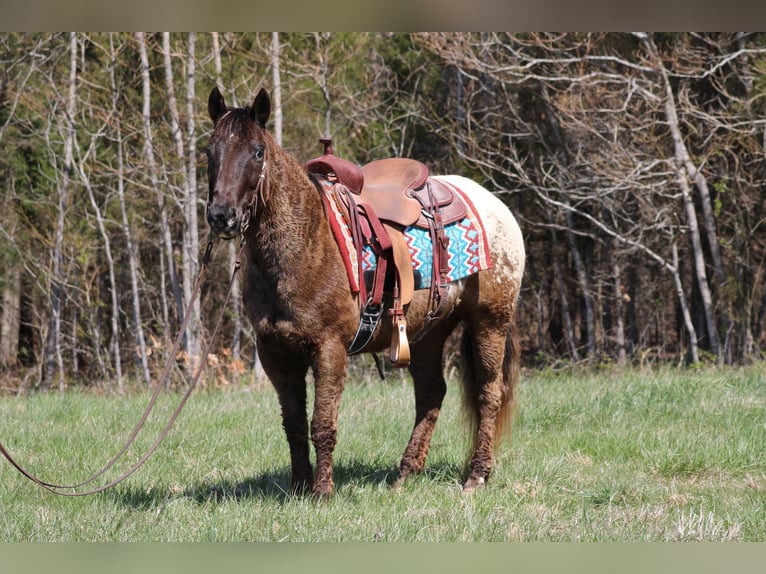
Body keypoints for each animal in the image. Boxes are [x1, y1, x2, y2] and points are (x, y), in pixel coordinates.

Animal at [206, 86, 528, 500]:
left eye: (257, 152)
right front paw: (298, 488)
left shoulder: (329, 348)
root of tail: (491, 202)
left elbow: (321, 424)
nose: (222, 216)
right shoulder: (276, 353)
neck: (306, 241)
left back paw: (476, 475)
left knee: (489, 393)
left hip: (489, 321)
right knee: (431, 394)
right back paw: (405, 474)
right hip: (428, 331)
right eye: (209, 150)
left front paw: (322, 493)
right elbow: (293, 426)